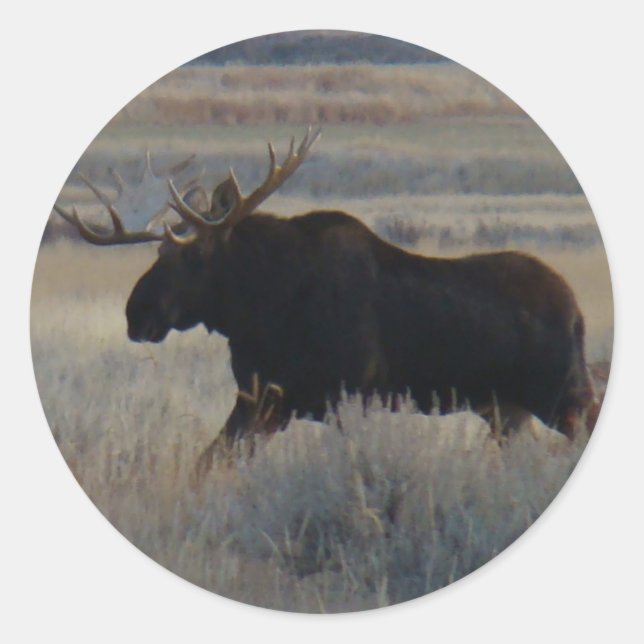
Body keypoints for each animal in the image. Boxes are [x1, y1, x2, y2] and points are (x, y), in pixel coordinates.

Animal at [55, 127, 598, 476]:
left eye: (196, 254)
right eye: (159, 251)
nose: (137, 314)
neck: (258, 314)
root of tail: (578, 312)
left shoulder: (344, 396)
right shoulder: (261, 400)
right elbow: (207, 463)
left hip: (563, 394)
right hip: (506, 411)